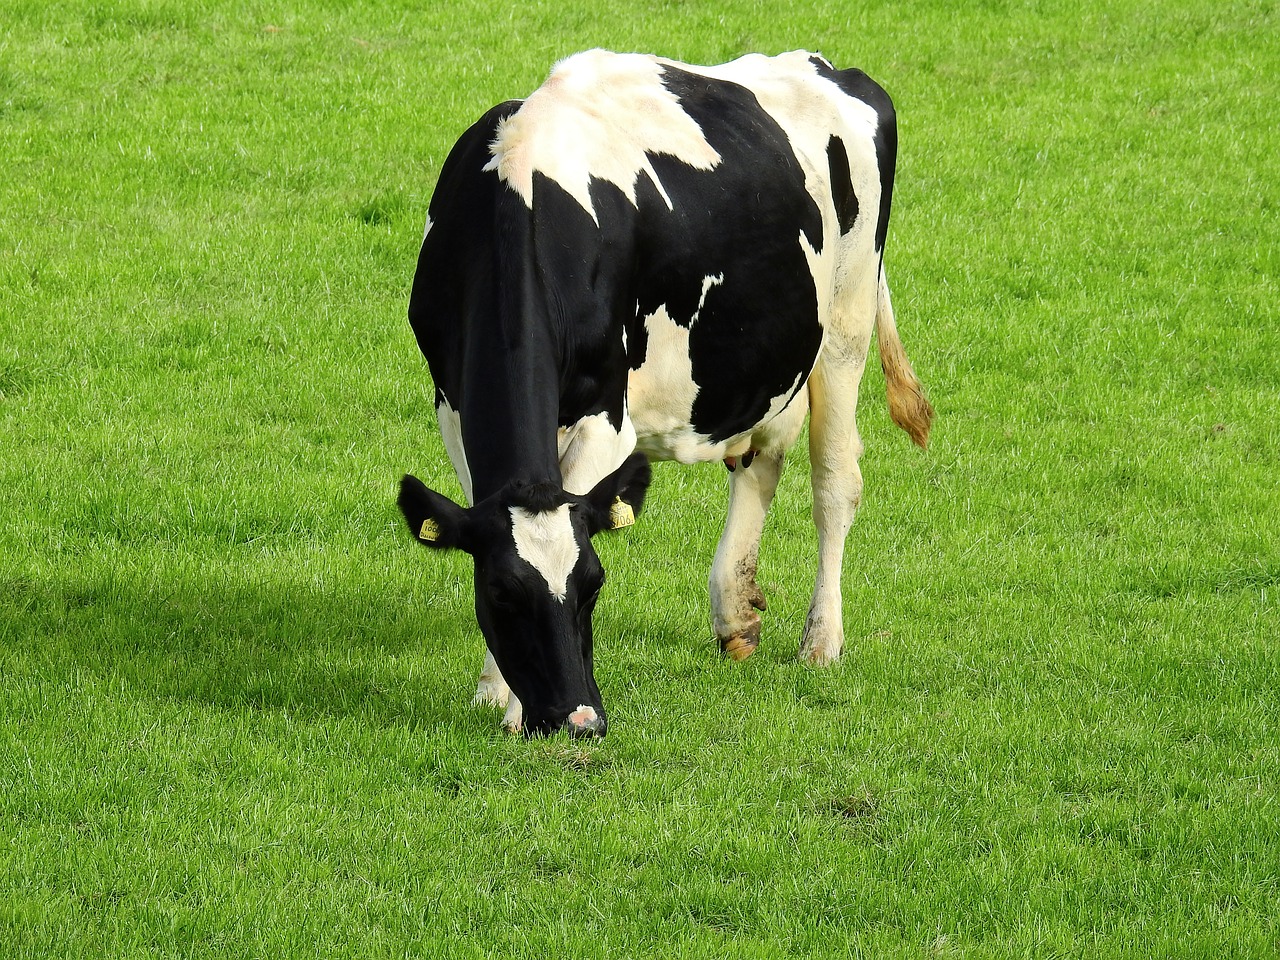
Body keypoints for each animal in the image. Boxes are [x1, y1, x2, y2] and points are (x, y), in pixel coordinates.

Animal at [396, 48, 931, 742]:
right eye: (501, 594)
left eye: (594, 584)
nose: (580, 720)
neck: (520, 192)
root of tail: (828, 67)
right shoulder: (451, 403)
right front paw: (495, 690)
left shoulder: (605, 419)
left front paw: (511, 706)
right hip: (763, 355)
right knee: (760, 459)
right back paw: (736, 615)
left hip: (846, 318)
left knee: (835, 481)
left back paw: (821, 642)